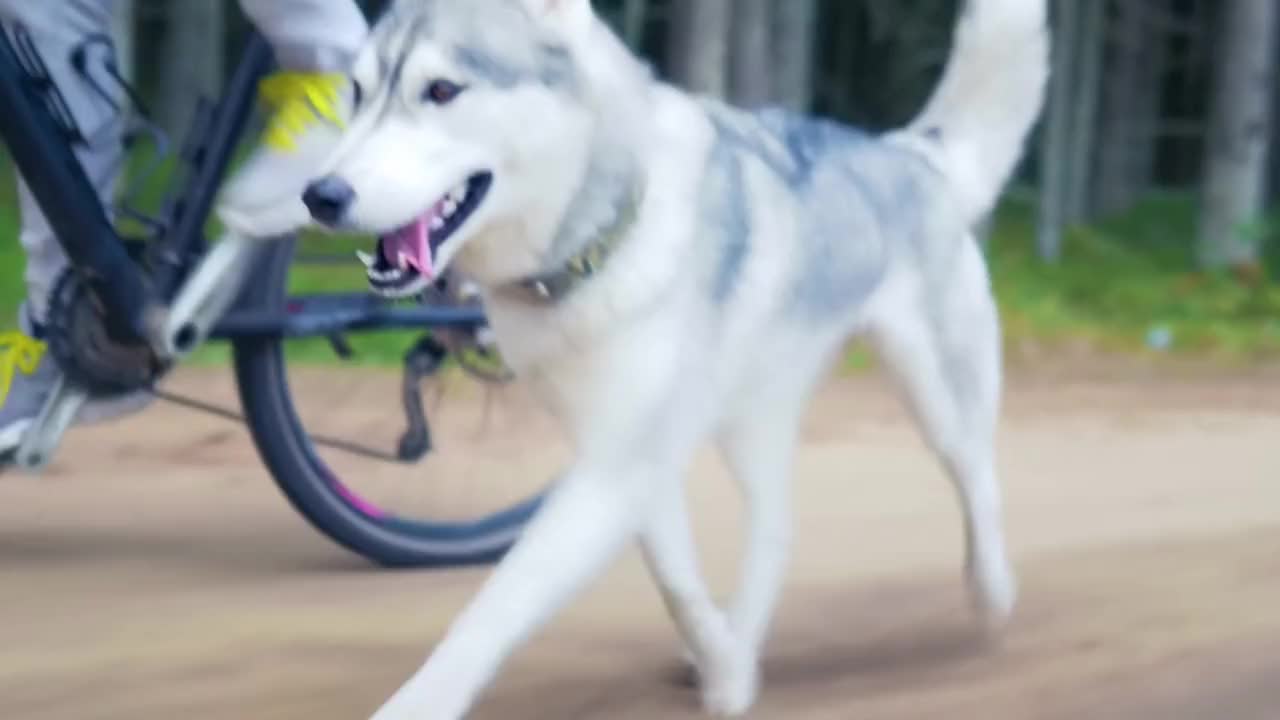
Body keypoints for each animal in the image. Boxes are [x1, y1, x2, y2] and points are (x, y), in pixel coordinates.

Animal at [302, 1, 1049, 712]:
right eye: (356, 92)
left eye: (441, 90)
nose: (320, 194)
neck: (597, 249)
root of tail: (912, 152)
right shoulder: (632, 461)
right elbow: (676, 581)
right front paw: (721, 661)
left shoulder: (615, 468)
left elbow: (497, 606)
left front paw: (418, 703)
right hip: (752, 426)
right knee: (776, 529)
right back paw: (742, 648)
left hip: (936, 398)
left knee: (977, 477)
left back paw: (992, 589)